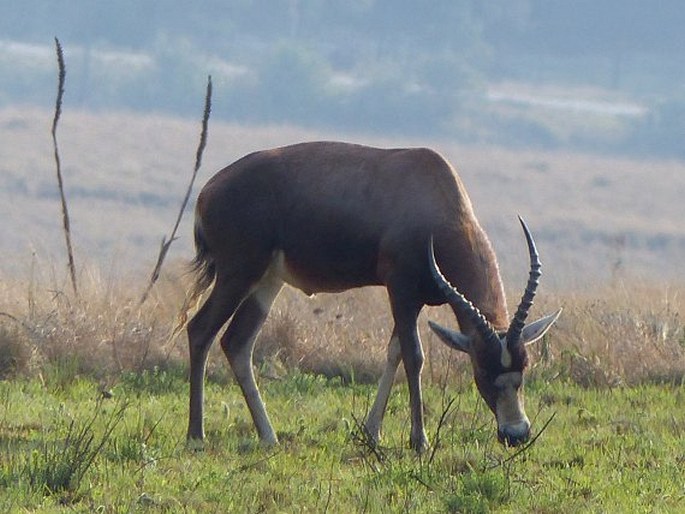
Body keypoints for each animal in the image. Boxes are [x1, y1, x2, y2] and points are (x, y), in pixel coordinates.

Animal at [184, 142, 560, 450]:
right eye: (481, 368)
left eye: (524, 366)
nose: (515, 433)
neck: (432, 190)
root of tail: (207, 192)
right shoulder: (400, 290)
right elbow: (414, 356)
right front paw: (419, 440)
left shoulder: (414, 300)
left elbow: (394, 352)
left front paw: (372, 431)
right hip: (237, 274)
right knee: (201, 330)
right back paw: (196, 436)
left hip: (266, 282)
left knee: (236, 342)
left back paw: (268, 436)